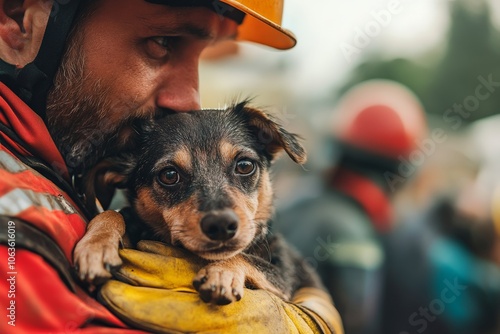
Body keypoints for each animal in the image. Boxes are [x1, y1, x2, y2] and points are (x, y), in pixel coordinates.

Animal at [74, 102, 324, 306]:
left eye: (244, 165)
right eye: (169, 175)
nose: (221, 225)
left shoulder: (285, 277)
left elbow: (247, 257)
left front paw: (222, 273)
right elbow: (112, 214)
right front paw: (96, 246)